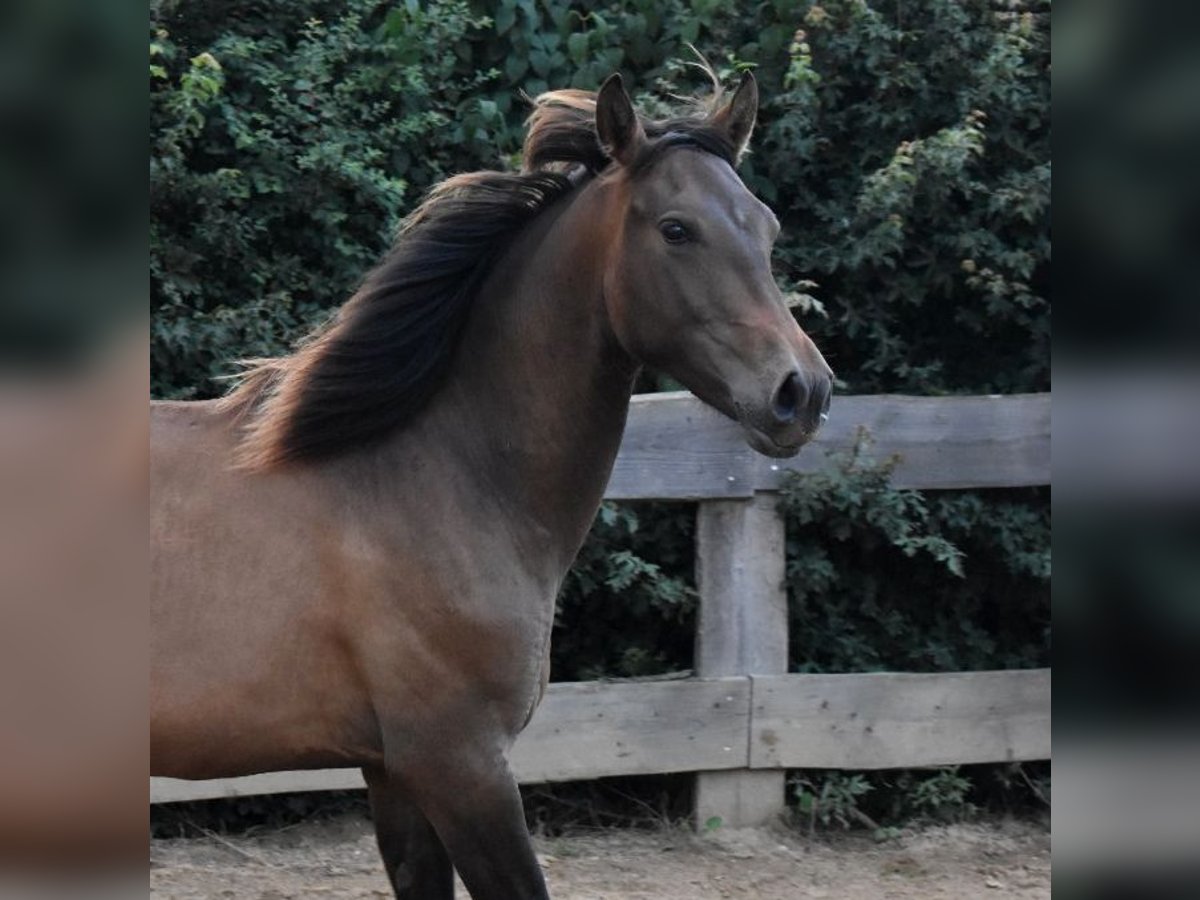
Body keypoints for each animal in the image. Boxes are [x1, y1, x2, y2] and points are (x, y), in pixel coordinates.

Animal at [150, 74, 830, 897]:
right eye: (676, 230)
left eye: (767, 227)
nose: (801, 393)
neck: (440, 480)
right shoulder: (461, 764)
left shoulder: (394, 772)